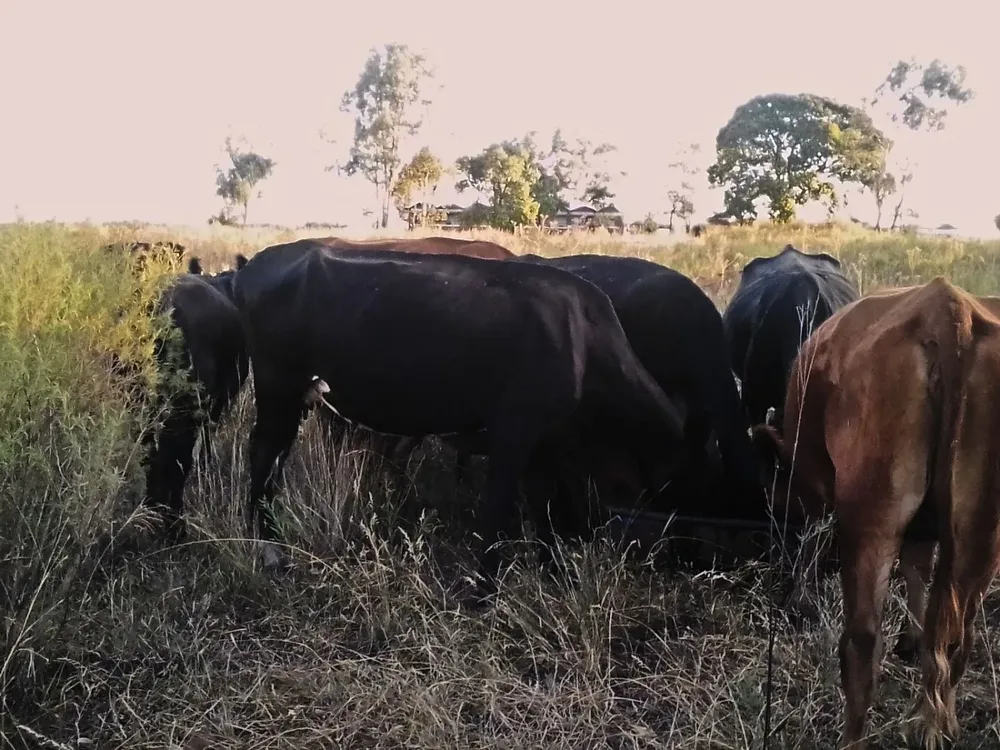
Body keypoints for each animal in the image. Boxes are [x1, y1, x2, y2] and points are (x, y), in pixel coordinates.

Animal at [139, 254, 250, 541]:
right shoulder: (219, 401)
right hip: (184, 412)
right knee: (176, 461)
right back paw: (174, 525)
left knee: (149, 454)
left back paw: (149, 508)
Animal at [230, 239, 689, 596]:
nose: (673, 560)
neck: (584, 338)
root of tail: (252, 265)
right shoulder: (514, 430)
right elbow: (500, 508)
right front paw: (484, 589)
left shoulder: (543, 441)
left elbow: (543, 508)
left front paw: (552, 571)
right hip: (277, 387)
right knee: (262, 455)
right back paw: (269, 551)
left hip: (296, 397)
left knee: (275, 460)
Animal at [753, 277, 1000, 750]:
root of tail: (945, 305)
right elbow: (918, 570)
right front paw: (913, 638)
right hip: (980, 538)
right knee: (958, 639)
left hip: (869, 518)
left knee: (862, 642)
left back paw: (852, 737)